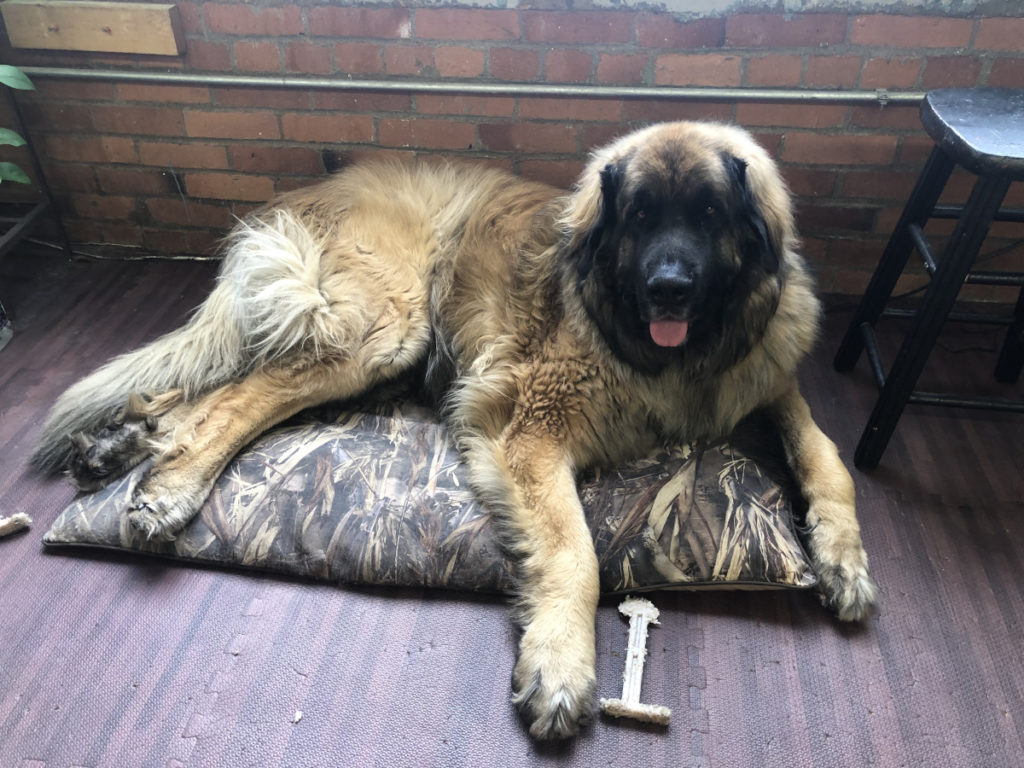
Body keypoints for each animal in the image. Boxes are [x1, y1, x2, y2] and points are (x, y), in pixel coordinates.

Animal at [36, 123, 876, 741]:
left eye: (707, 217)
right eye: (641, 217)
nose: (669, 287)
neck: (680, 358)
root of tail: (313, 191)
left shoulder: (766, 376)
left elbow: (826, 454)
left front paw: (844, 558)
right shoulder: (529, 430)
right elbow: (577, 552)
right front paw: (561, 665)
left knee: (201, 387)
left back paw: (118, 448)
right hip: (382, 327)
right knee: (243, 394)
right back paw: (168, 486)